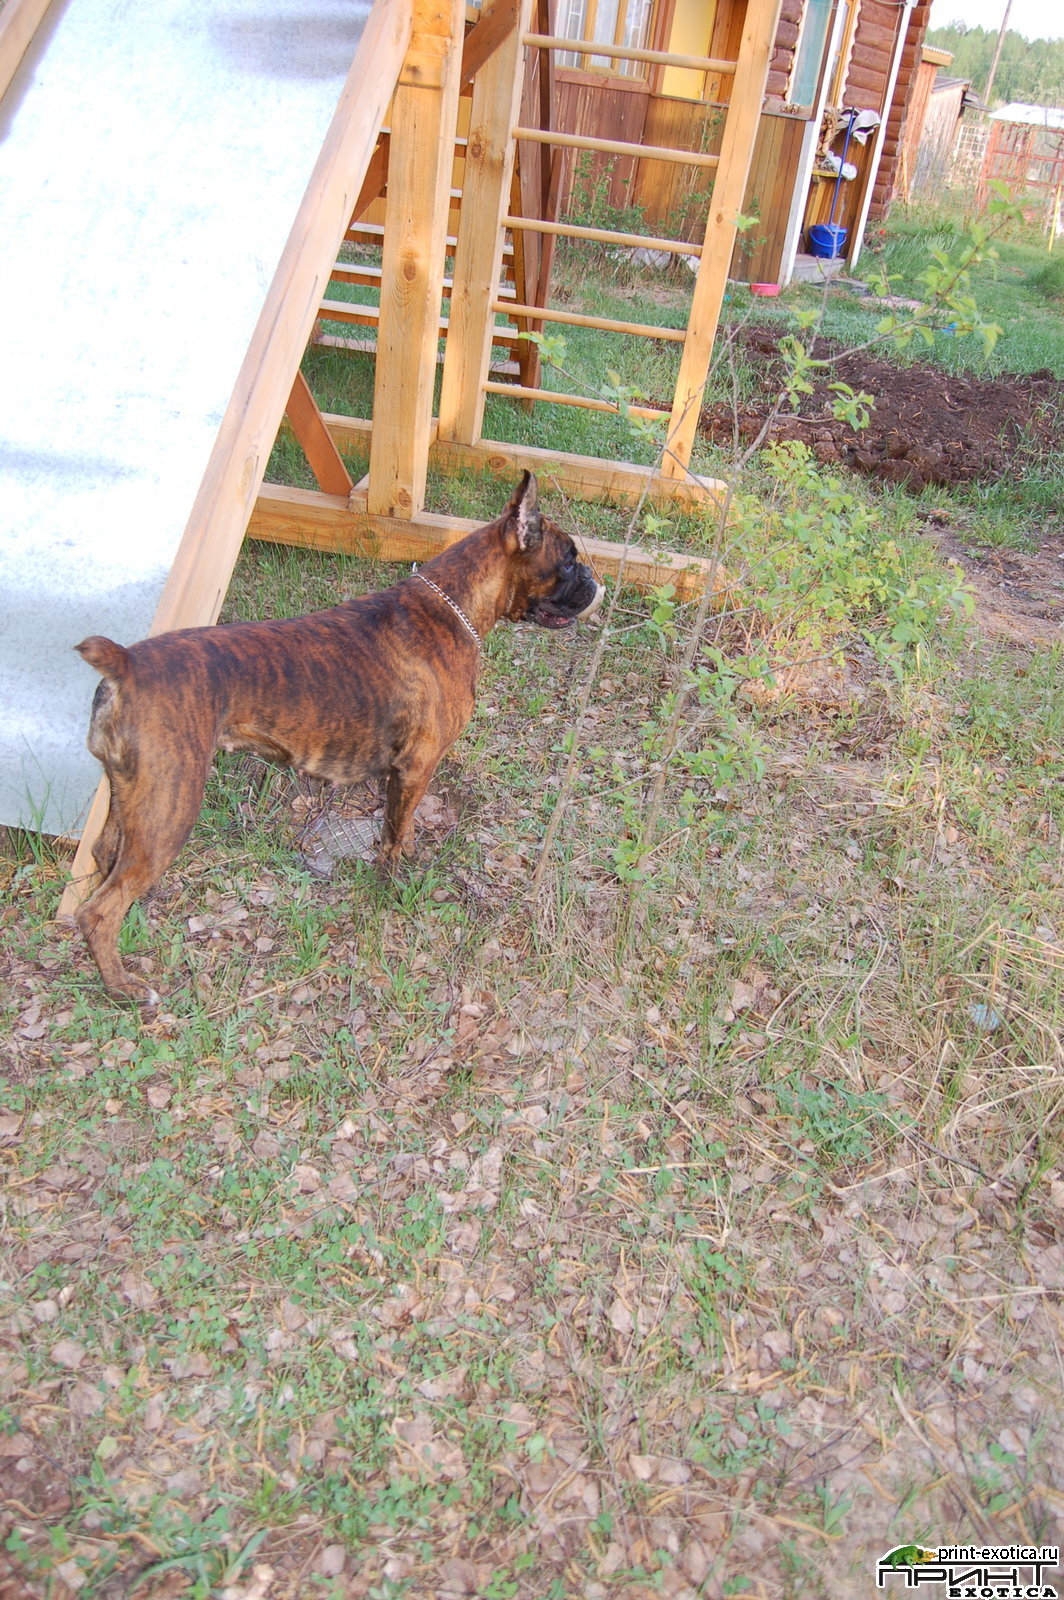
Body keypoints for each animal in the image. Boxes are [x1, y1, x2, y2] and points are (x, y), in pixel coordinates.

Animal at [73, 472, 602, 1005]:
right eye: (568, 559)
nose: (595, 581)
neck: (453, 606)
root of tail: (127, 663)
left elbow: (402, 826)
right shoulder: (416, 768)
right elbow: (394, 834)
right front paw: (392, 885)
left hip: (129, 796)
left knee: (104, 857)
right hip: (170, 808)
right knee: (97, 911)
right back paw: (123, 986)